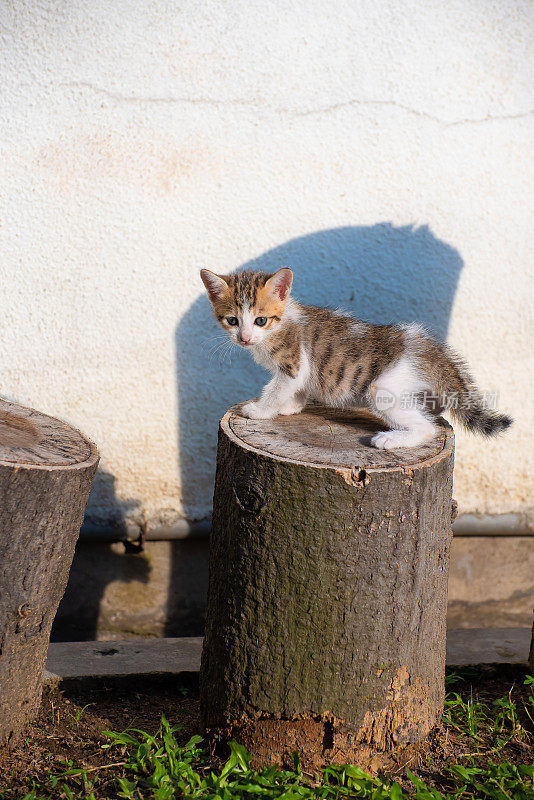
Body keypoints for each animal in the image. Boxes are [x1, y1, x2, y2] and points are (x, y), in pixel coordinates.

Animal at [201, 266, 516, 446]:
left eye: (261, 321)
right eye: (232, 320)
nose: (244, 338)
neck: (280, 325)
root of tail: (429, 347)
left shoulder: (293, 363)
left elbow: (278, 388)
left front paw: (260, 410)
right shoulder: (301, 369)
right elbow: (298, 387)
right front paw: (292, 406)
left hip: (384, 387)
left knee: (428, 428)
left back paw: (391, 439)